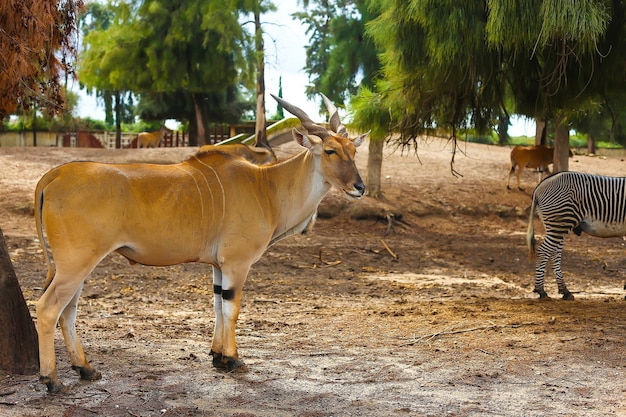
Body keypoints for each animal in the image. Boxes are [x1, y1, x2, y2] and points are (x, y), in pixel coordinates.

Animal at [34, 92, 366, 392]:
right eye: (330, 151)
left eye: (353, 150)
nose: (359, 187)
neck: (266, 187)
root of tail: (53, 175)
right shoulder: (236, 263)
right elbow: (231, 309)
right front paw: (233, 360)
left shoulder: (218, 266)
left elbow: (218, 304)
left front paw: (217, 356)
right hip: (76, 263)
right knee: (49, 309)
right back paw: (52, 380)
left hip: (76, 267)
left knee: (68, 311)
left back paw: (86, 368)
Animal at [528, 170, 624, 300]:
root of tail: (539, 186)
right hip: (559, 223)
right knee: (544, 251)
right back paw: (541, 290)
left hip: (556, 226)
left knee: (554, 253)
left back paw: (565, 291)